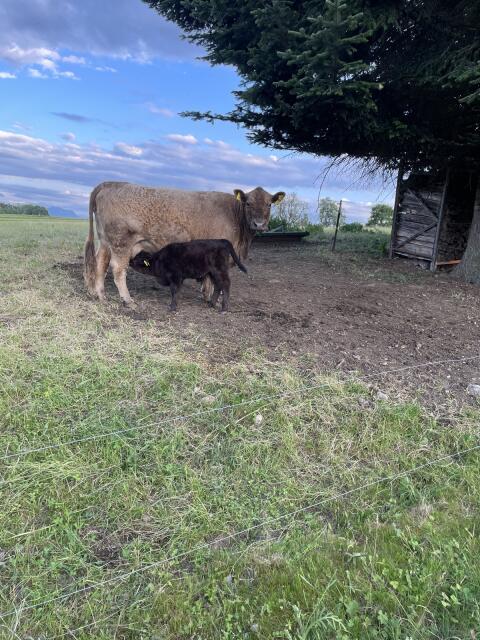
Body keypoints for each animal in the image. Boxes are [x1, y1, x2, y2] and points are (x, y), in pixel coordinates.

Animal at [83, 182, 285, 307]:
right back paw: (127, 300)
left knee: (100, 263)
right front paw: (212, 298)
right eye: (248, 203)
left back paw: (101, 295)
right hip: (121, 242)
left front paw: (207, 295)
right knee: (118, 269)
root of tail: (113, 184)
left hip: (106, 241)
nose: (259, 224)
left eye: (269, 204)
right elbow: (213, 279)